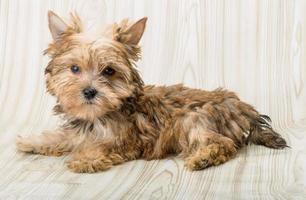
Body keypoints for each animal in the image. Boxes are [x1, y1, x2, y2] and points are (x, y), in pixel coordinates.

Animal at [15, 11, 288, 173]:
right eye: (74, 69)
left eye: (109, 71)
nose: (89, 92)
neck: (99, 115)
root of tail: (243, 108)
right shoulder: (78, 131)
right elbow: (63, 136)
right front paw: (33, 141)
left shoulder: (126, 140)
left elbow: (102, 147)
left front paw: (86, 158)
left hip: (195, 118)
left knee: (223, 143)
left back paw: (204, 157)